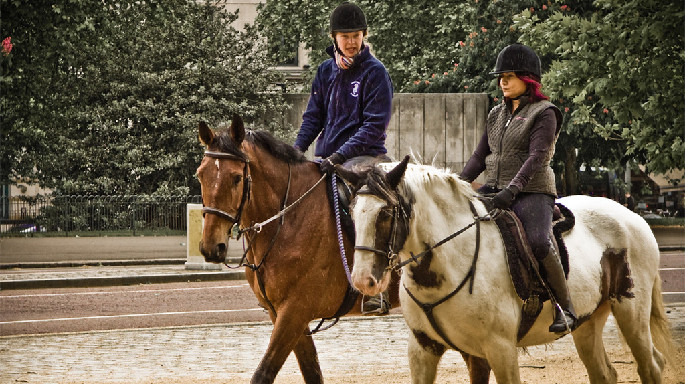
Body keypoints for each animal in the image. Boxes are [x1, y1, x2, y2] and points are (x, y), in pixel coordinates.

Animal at [198, 115, 492, 384]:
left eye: (237, 178)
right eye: (200, 174)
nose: (212, 247)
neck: (290, 217)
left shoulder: (294, 312)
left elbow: (263, 373)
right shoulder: (284, 315)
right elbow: (312, 373)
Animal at [348, 157, 672, 384]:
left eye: (385, 213)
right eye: (351, 212)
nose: (363, 280)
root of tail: (633, 217)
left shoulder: (500, 349)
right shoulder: (425, 350)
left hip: (631, 311)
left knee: (651, 366)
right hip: (587, 322)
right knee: (604, 373)